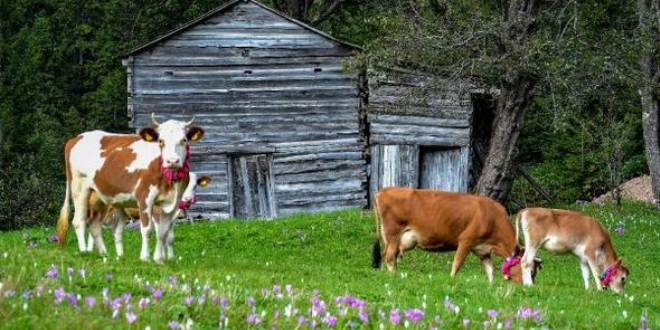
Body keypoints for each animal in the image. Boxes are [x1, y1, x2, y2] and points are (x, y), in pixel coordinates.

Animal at [372, 187, 536, 282]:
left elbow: (489, 270)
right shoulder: (466, 240)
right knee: (390, 257)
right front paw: (451, 281)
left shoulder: (483, 250)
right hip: (393, 234)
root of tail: (383, 190)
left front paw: (491, 287)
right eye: (531, 271)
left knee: (387, 256)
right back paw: (395, 278)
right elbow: (457, 263)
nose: (528, 288)